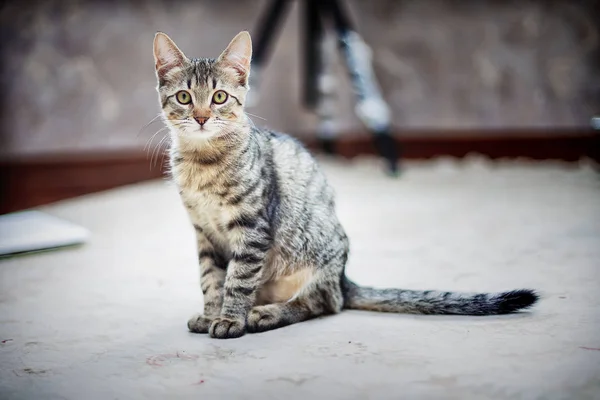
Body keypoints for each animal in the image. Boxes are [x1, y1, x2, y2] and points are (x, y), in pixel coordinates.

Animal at [152, 29, 536, 340]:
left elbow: (238, 280)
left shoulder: (252, 228)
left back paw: (266, 314)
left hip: (317, 262)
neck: (203, 163)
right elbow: (211, 280)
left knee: (323, 302)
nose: (201, 118)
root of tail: (342, 275)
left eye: (219, 97)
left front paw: (231, 319)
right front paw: (212, 314)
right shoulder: (204, 232)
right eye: (185, 98)